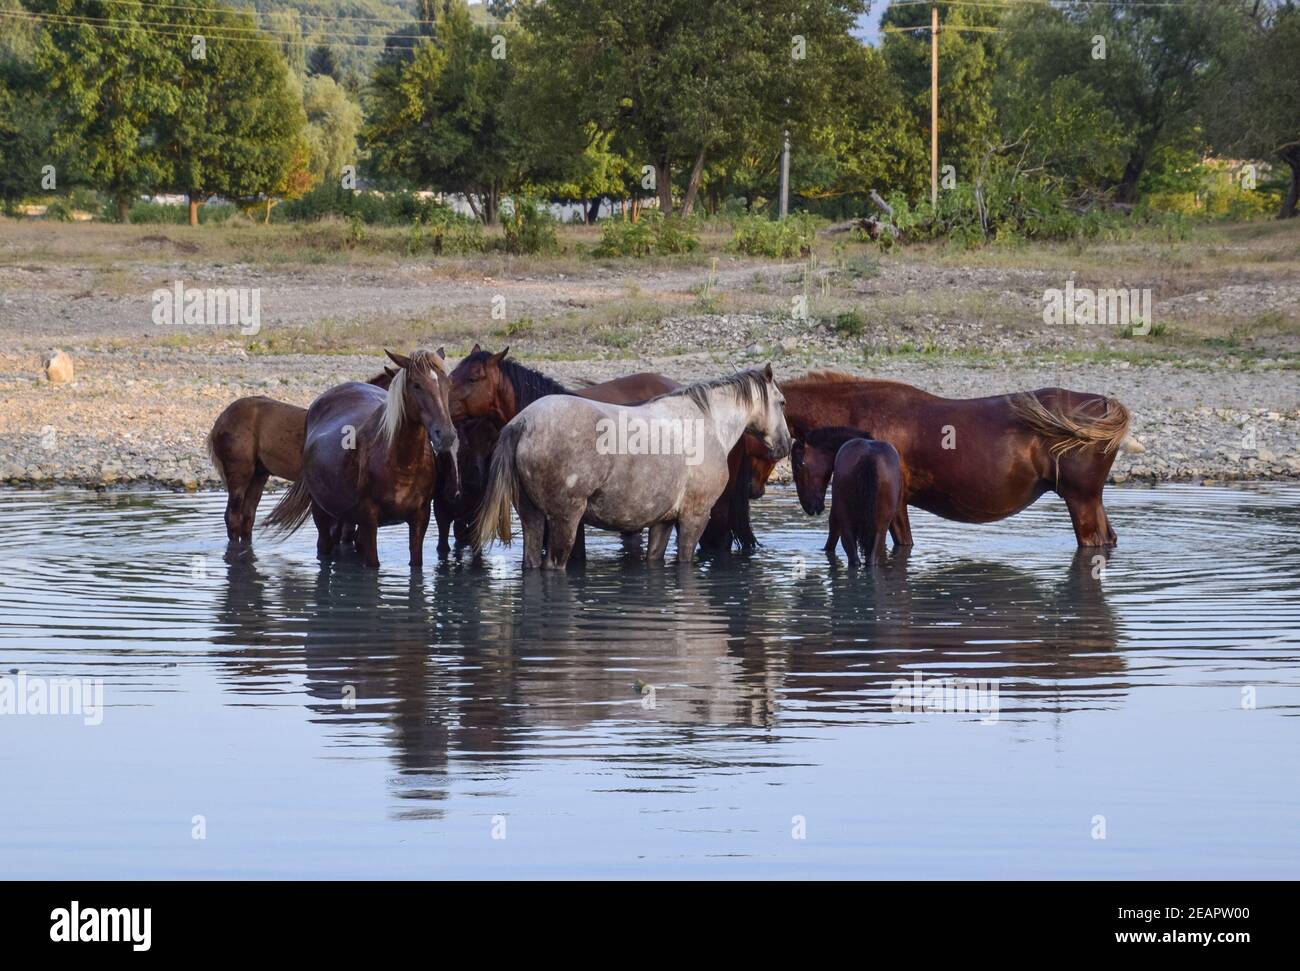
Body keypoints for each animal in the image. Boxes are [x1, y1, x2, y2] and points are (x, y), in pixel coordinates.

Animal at [261, 353, 460, 569]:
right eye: (416, 385)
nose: (446, 435)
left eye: (448, 384)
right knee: (324, 545)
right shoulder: (368, 520)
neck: (402, 463)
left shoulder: (420, 518)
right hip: (321, 512)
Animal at [774, 371, 1133, 545]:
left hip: (1080, 500)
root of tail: (1105, 405)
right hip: (1090, 499)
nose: (811, 507)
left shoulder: (896, 504)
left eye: (797, 462)